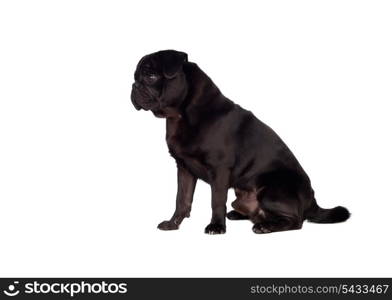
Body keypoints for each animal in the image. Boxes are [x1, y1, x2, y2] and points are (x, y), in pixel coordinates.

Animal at [131, 49, 350, 234]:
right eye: (135, 77)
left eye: (151, 77)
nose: (134, 86)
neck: (178, 116)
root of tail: (312, 201)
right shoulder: (184, 168)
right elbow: (182, 200)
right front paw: (173, 224)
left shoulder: (219, 169)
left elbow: (217, 201)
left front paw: (216, 226)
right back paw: (243, 215)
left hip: (271, 191)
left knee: (296, 221)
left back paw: (265, 227)